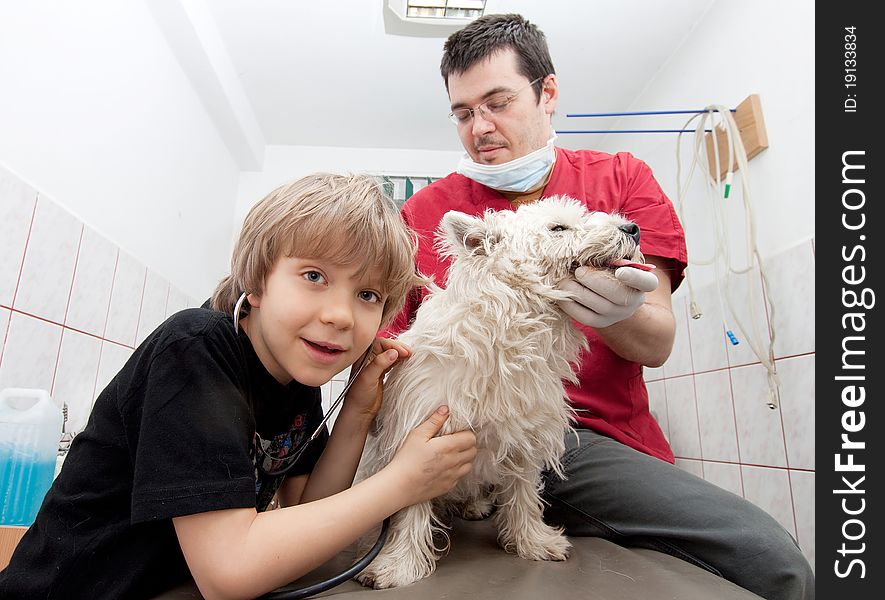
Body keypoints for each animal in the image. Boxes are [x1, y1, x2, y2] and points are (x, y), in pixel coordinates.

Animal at [354, 196, 644, 584]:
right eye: (559, 228)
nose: (632, 228)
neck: (512, 329)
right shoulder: (419, 434)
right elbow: (411, 502)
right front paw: (398, 564)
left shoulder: (525, 435)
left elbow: (523, 494)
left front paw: (532, 542)